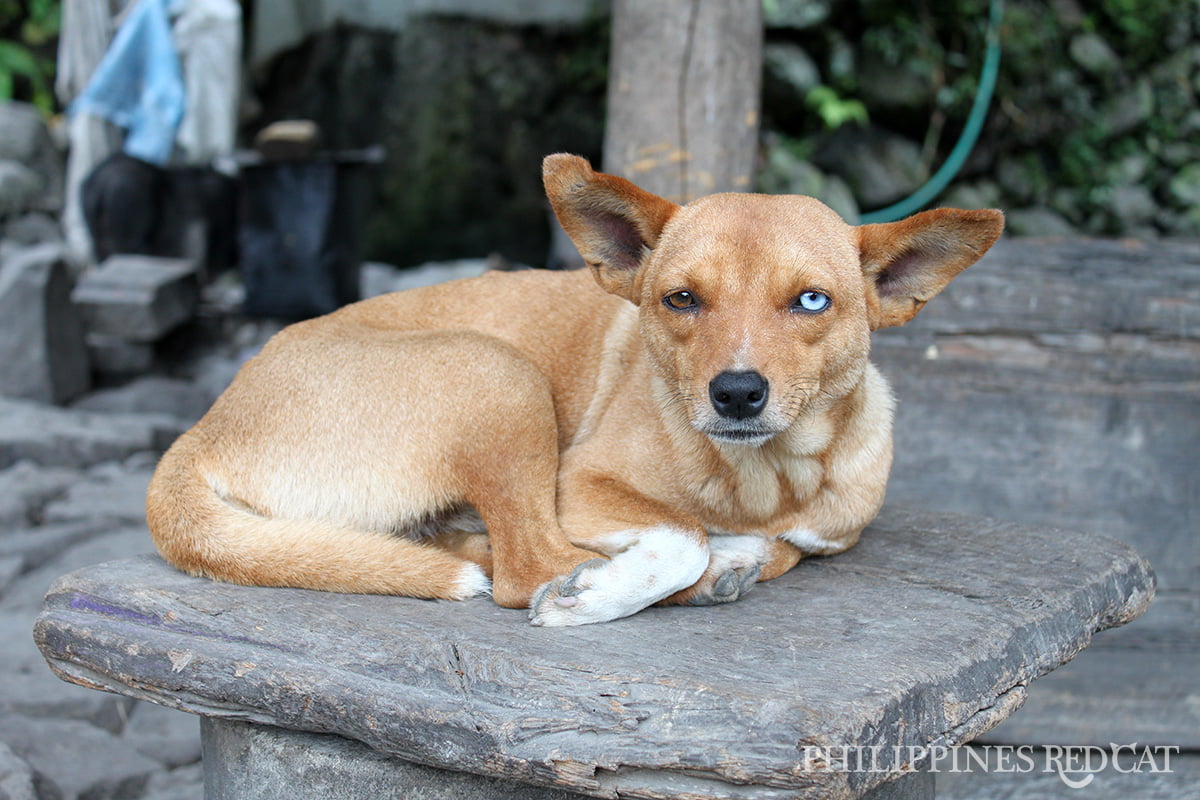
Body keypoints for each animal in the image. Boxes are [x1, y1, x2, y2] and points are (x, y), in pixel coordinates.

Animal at [147, 154, 1003, 623]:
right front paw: (612, 587)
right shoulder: (580, 483)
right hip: (497, 372)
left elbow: (774, 548)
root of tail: (201, 430)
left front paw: (730, 555)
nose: (736, 394)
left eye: (813, 301)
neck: (763, 479)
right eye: (681, 299)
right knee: (524, 569)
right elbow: (677, 539)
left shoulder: (826, 531)